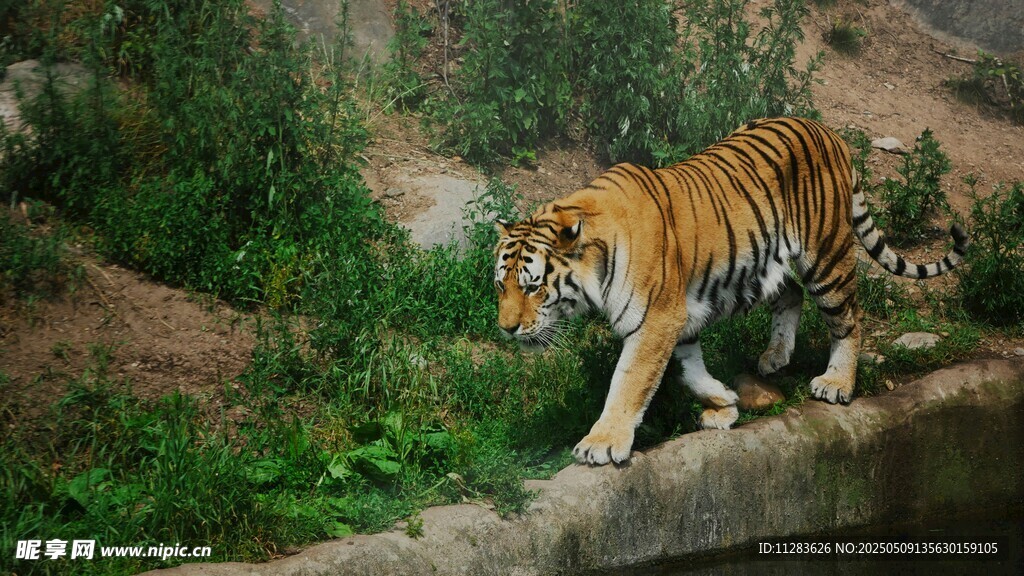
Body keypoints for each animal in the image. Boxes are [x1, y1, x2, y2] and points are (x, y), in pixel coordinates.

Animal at [493, 117, 968, 466]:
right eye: (501, 285)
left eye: (533, 287)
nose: (506, 329)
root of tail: (827, 131)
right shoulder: (677, 318)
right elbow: (688, 368)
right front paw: (724, 403)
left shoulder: (656, 318)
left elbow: (629, 381)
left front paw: (602, 443)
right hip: (765, 263)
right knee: (791, 293)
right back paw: (775, 356)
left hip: (827, 257)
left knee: (849, 318)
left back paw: (836, 383)